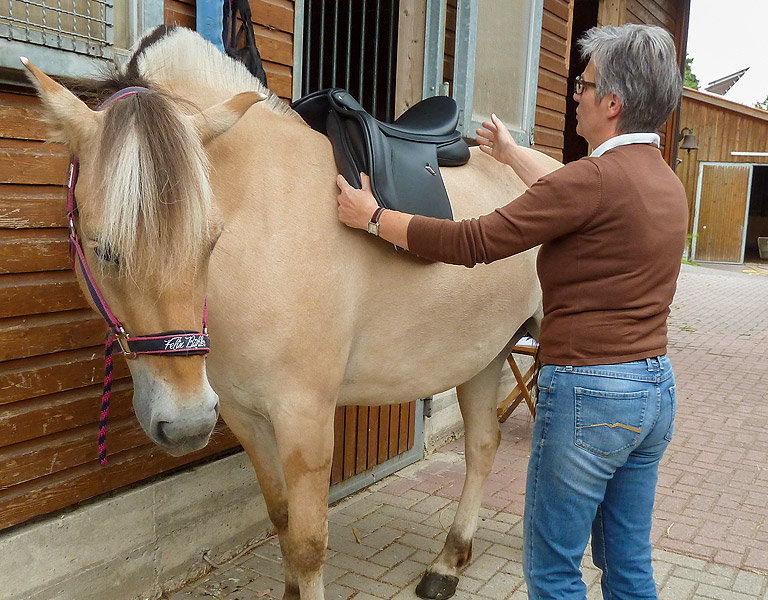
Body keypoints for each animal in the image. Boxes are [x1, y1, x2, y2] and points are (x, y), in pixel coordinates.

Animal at [22, 25, 560, 600]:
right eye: (103, 249)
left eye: (211, 240)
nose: (185, 423)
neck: (263, 222)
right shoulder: (244, 416)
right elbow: (280, 520)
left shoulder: (306, 420)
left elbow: (306, 544)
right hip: (485, 354)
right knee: (483, 446)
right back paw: (448, 563)